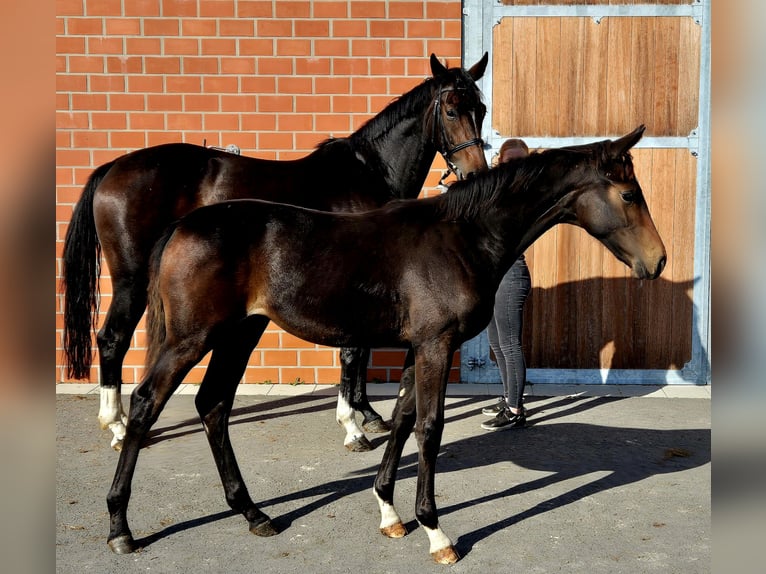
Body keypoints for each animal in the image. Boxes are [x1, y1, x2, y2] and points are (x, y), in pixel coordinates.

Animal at [61, 53, 489, 452]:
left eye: (481, 110)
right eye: (451, 110)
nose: (475, 174)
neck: (367, 174)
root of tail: (114, 167)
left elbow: (360, 351)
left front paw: (367, 414)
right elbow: (352, 353)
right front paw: (352, 427)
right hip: (131, 280)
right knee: (112, 338)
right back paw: (117, 427)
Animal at [104, 125, 666, 564]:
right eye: (629, 195)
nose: (658, 261)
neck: (461, 235)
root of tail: (181, 226)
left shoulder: (419, 346)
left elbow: (399, 418)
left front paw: (390, 512)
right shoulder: (437, 344)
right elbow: (429, 428)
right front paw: (435, 531)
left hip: (240, 333)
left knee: (213, 404)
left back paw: (253, 512)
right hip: (191, 338)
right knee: (146, 403)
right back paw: (120, 527)